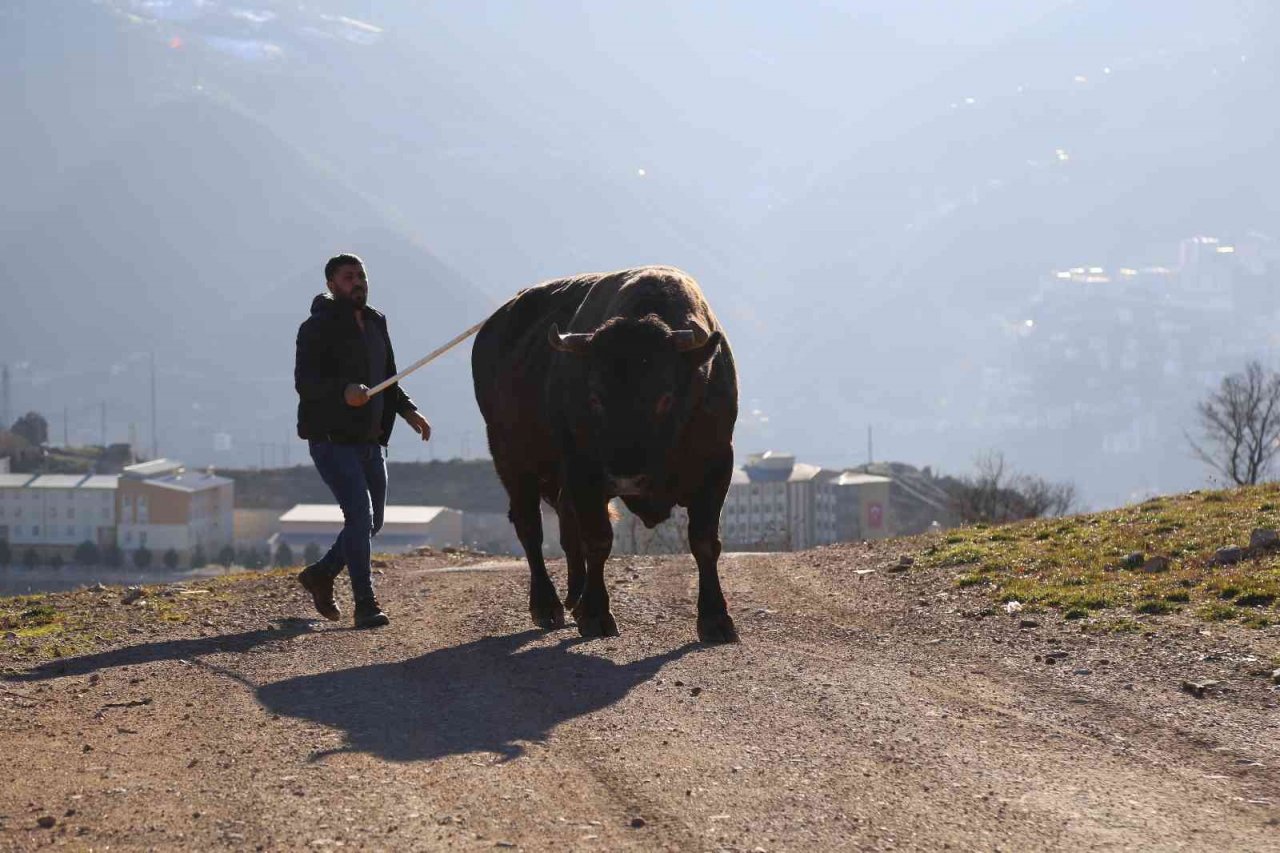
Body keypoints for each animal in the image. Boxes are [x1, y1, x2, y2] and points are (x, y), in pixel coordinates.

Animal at [473, 266, 742, 637]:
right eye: (595, 397)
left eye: (665, 397)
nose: (627, 478)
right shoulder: (583, 470)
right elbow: (598, 540)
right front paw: (596, 614)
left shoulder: (717, 465)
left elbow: (704, 542)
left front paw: (716, 619)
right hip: (511, 458)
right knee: (530, 529)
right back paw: (548, 606)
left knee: (566, 528)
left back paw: (574, 596)